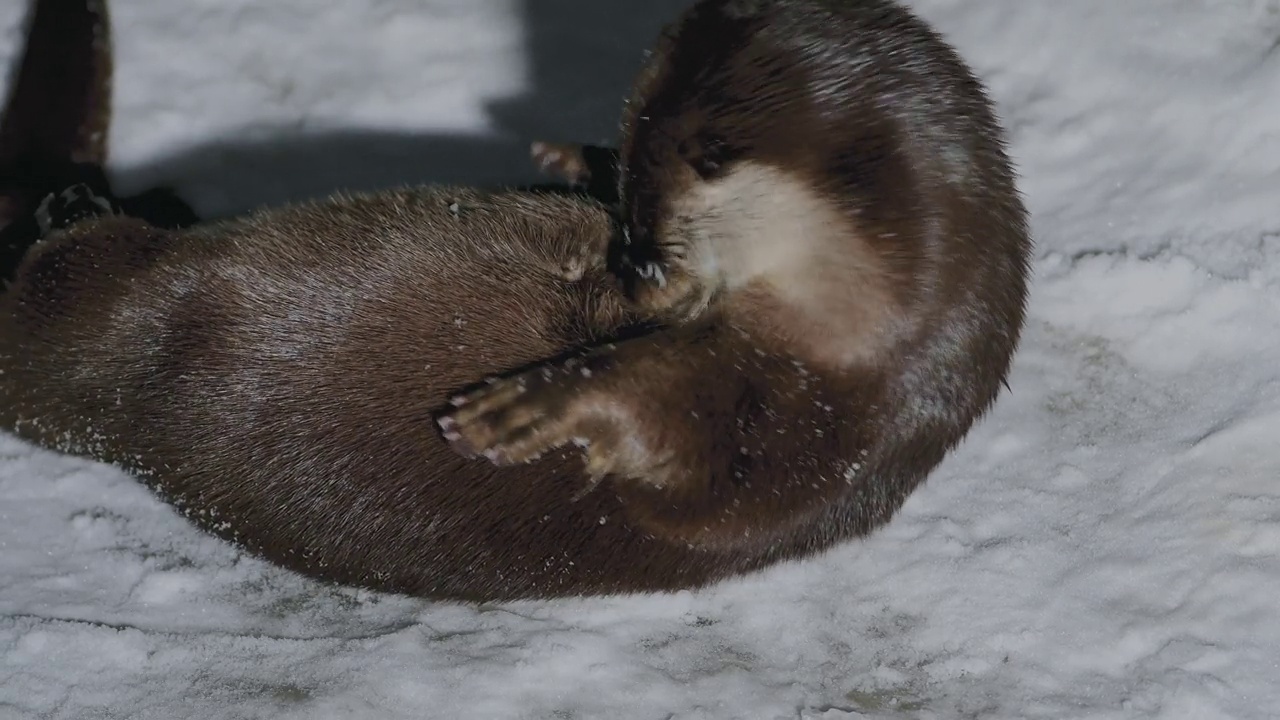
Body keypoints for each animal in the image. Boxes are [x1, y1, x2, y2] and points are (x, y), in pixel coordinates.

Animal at [440, 0, 1029, 548]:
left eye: (655, 244)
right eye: (625, 218)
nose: (632, 285)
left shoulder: (788, 424)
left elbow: (660, 412)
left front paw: (532, 404)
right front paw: (577, 158)